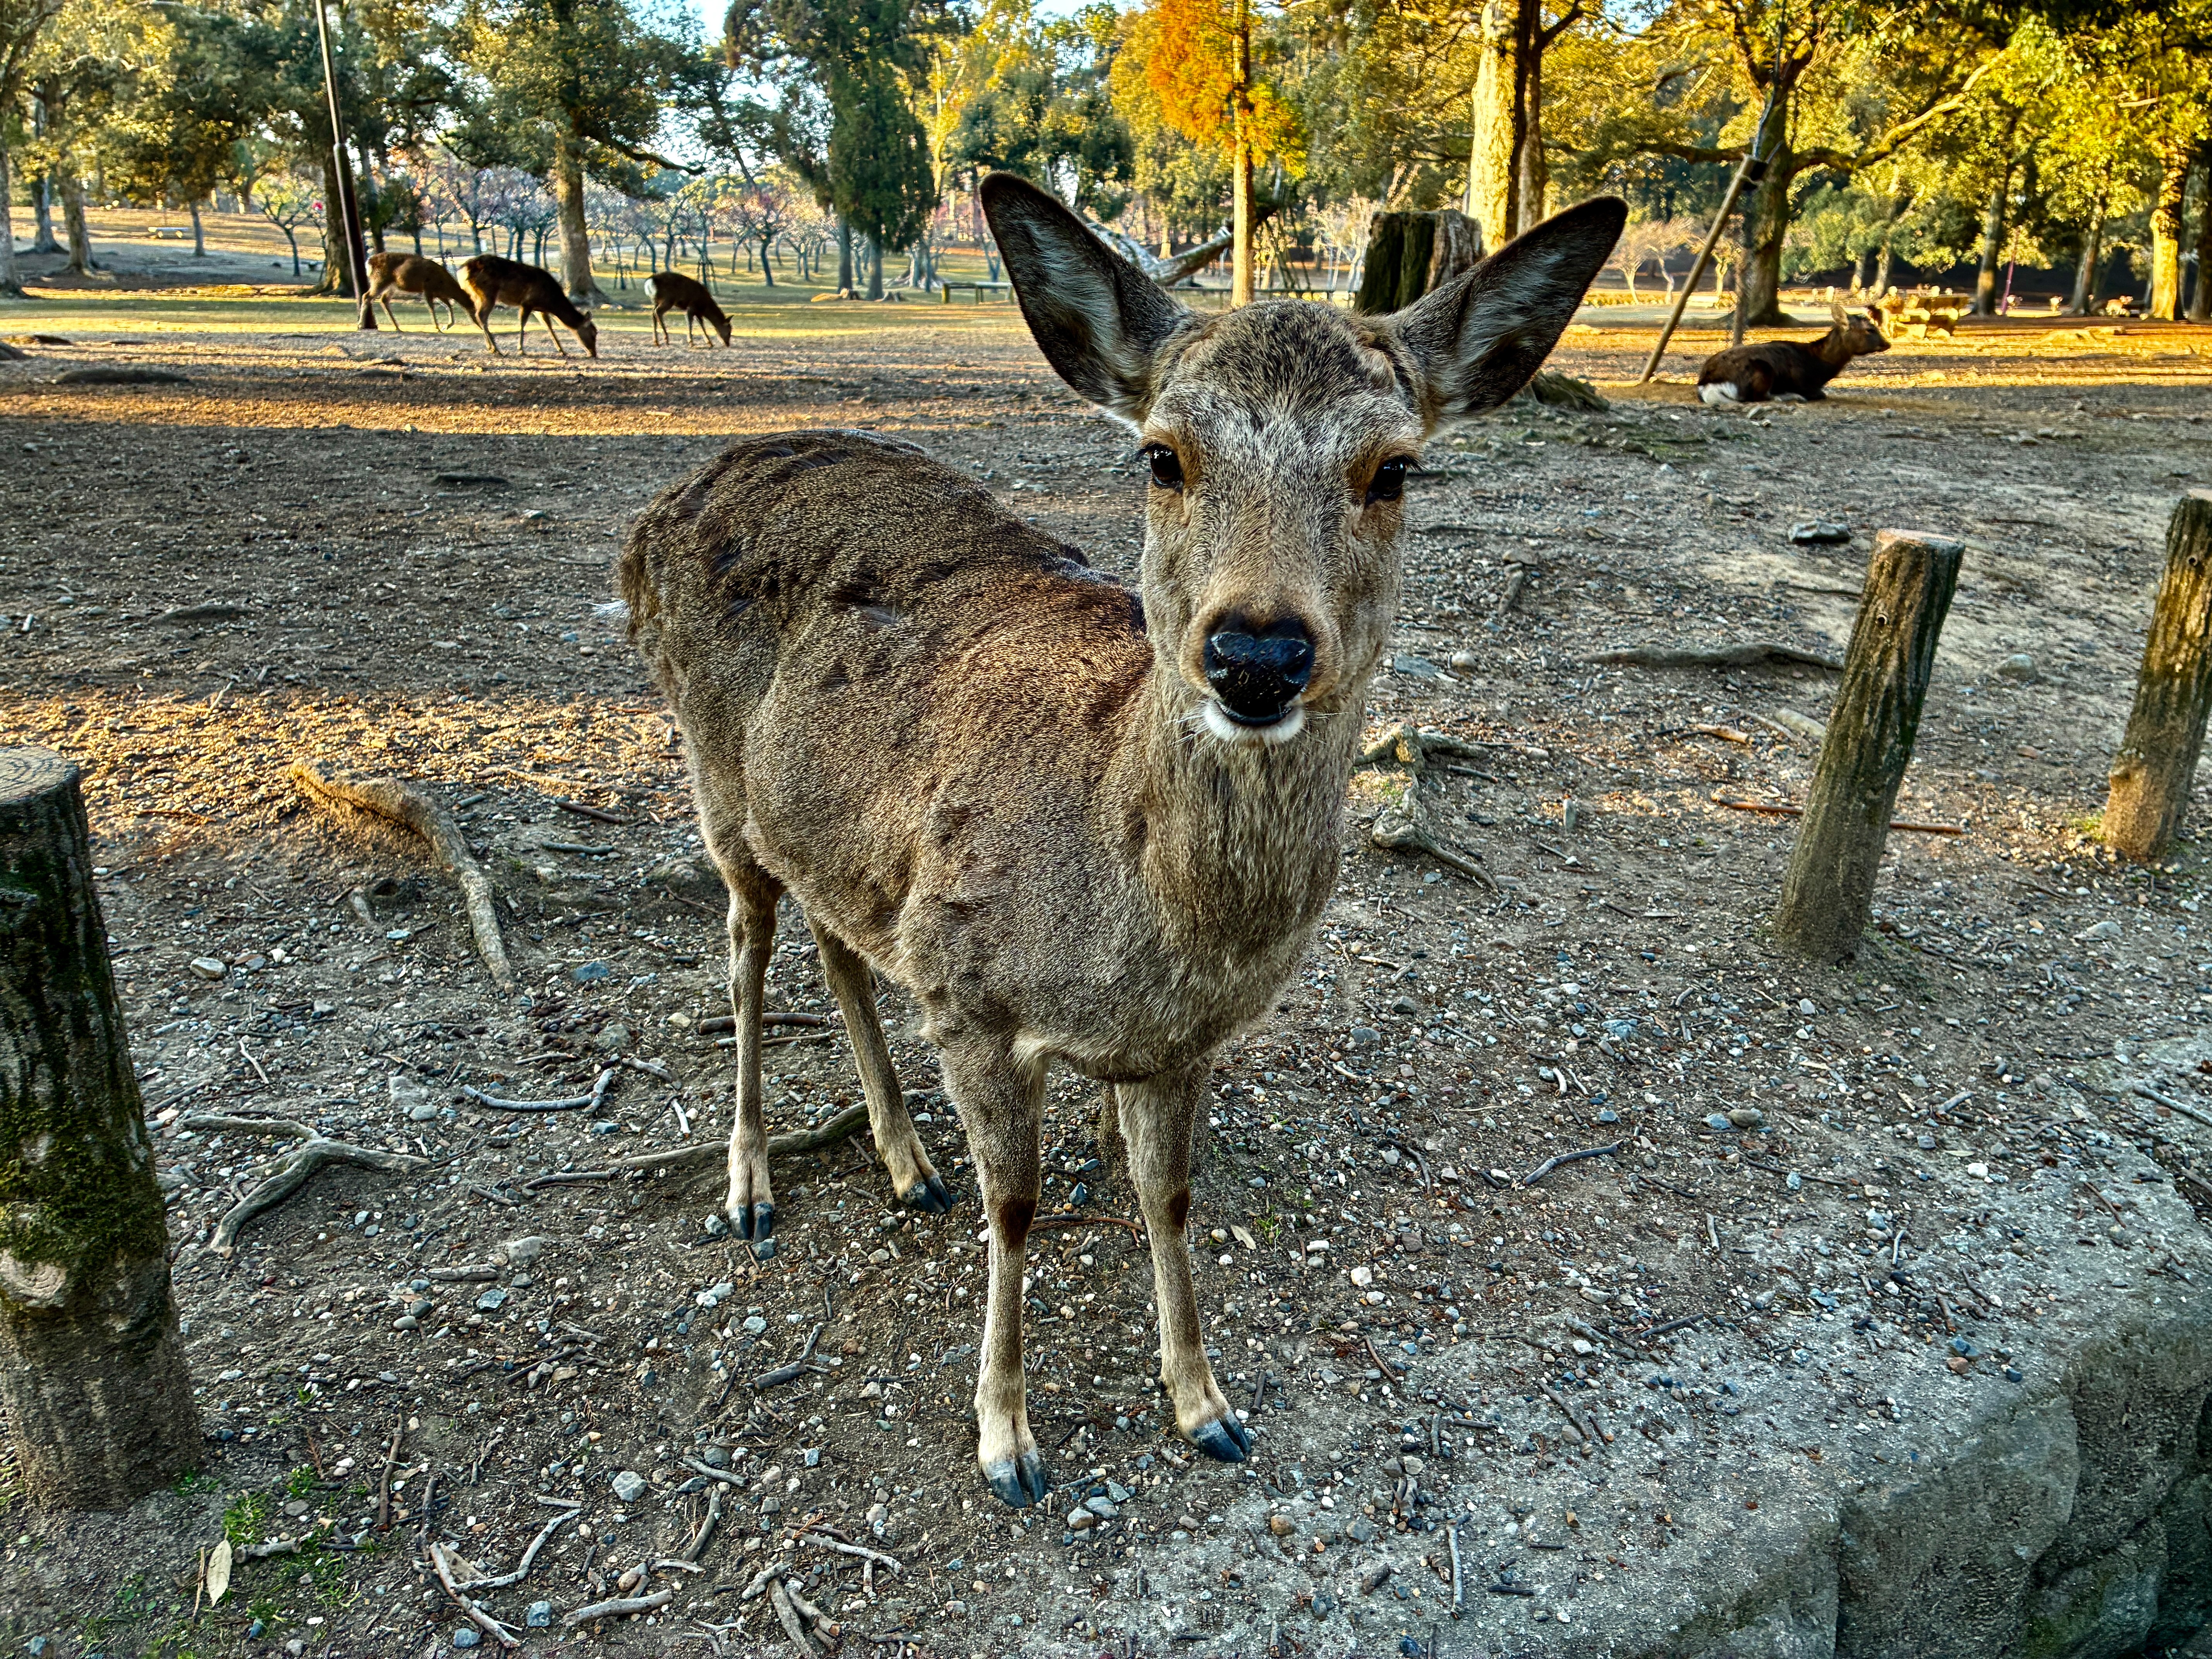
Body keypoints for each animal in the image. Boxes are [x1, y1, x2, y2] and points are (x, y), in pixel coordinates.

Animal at [364, 252, 472, 333]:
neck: (445, 285)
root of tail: (369, 262)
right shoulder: (428, 289)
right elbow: (432, 309)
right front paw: (438, 328)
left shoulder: (440, 295)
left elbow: (449, 306)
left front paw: (447, 326)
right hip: (380, 279)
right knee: (367, 296)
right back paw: (361, 324)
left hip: (393, 286)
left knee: (383, 299)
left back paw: (398, 328)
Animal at [457, 254, 598, 359]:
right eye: (594, 334)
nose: (594, 354)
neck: (551, 302)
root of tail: (462, 270)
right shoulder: (528, 303)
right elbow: (523, 324)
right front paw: (521, 350)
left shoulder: (539, 310)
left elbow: (549, 327)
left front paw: (562, 351)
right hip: (487, 293)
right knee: (481, 316)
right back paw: (497, 349)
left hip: (475, 295)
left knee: (476, 315)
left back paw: (490, 347)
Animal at [647, 270, 733, 348]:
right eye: (729, 331)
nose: (728, 344)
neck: (705, 307)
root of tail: (651, 281)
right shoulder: (692, 307)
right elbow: (690, 323)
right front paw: (691, 342)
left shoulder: (698, 312)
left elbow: (702, 324)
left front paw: (710, 343)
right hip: (668, 299)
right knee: (658, 312)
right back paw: (666, 339)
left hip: (655, 300)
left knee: (653, 314)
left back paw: (656, 342)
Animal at [1697, 297, 1890, 405]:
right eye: (1870, 330)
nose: (1887, 344)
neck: (1819, 367)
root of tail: (1707, 384)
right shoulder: (1805, 384)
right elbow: (1822, 394)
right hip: (1763, 370)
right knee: (1758, 396)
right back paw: (1791, 397)